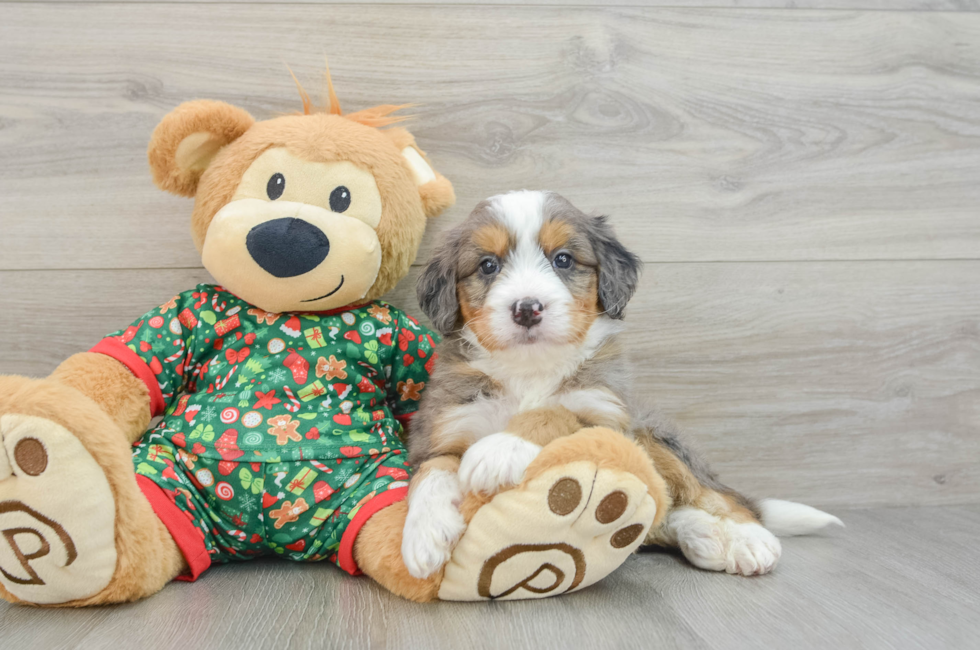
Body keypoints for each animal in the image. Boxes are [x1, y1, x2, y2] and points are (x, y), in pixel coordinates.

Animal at [400, 189, 844, 576]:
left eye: (563, 259)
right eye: (488, 265)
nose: (527, 309)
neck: (530, 369)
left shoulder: (607, 417)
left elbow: (555, 413)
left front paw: (502, 448)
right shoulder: (442, 427)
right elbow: (432, 472)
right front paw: (423, 535)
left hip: (653, 434)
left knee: (715, 495)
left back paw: (746, 539)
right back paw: (702, 536)